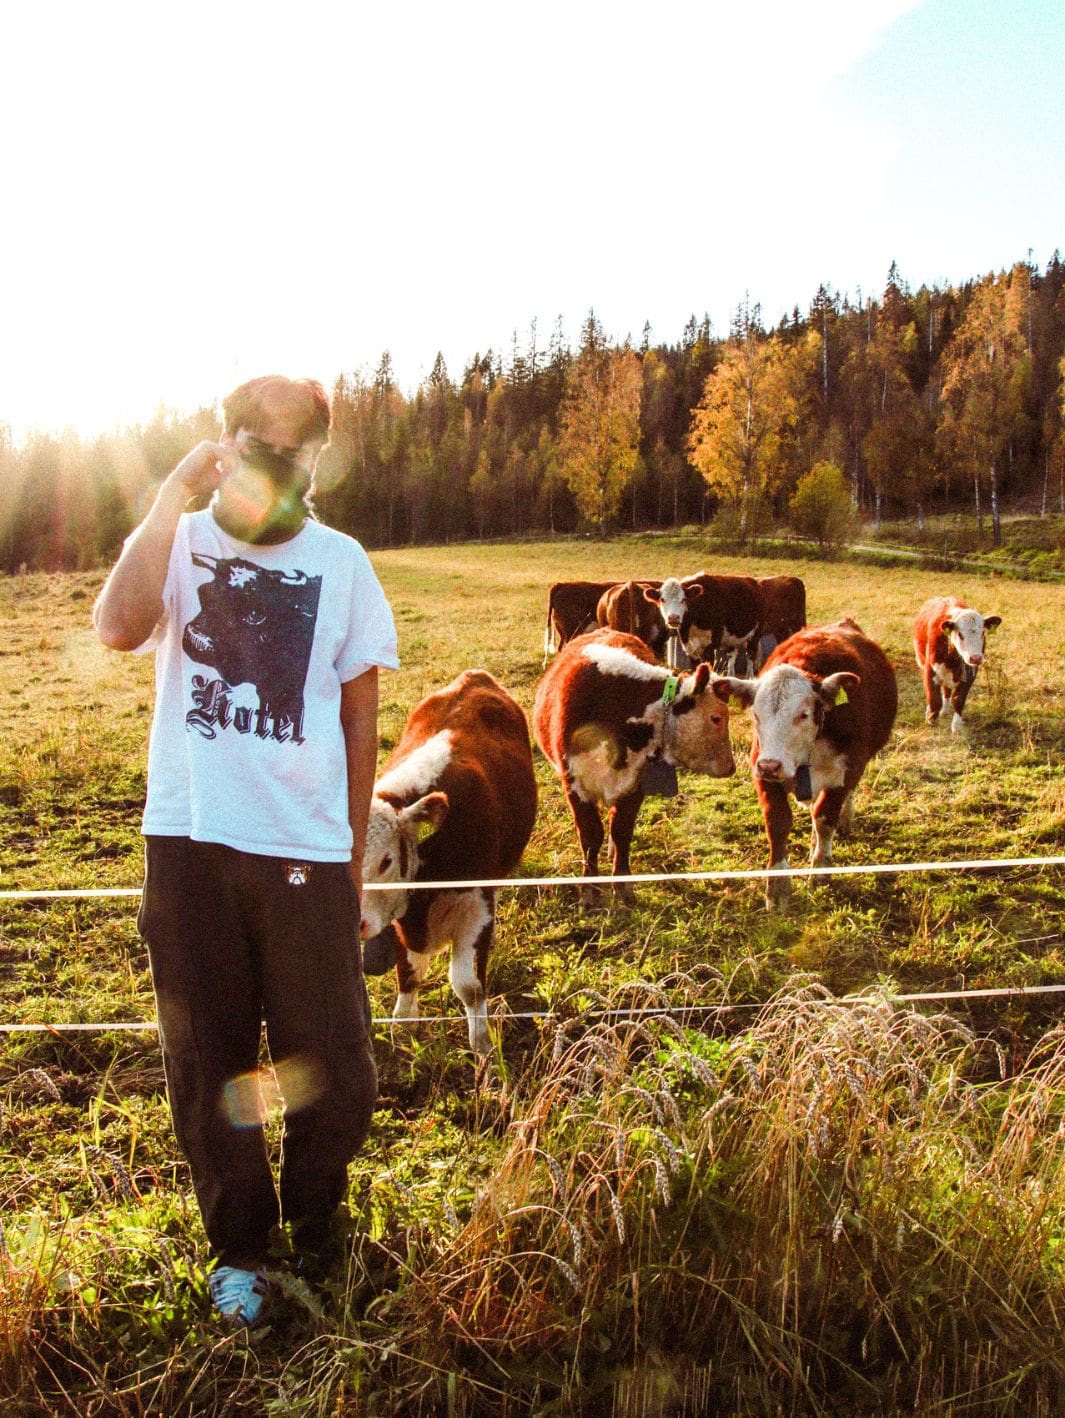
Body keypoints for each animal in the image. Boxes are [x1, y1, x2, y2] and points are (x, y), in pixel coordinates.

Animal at [360, 666, 541, 1054]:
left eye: (386, 861)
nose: (359, 923)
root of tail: (474, 676)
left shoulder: (478, 907)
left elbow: (468, 986)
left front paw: (483, 1045)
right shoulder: (404, 923)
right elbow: (409, 971)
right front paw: (403, 1025)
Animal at [536, 629, 737, 896]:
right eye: (716, 718)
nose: (731, 766)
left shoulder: (635, 784)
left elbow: (622, 831)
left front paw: (622, 885)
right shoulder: (575, 784)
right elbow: (590, 836)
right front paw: (590, 889)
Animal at [726, 618, 901, 907]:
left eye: (803, 714)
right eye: (756, 714)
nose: (770, 765)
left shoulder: (846, 771)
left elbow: (825, 817)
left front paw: (820, 869)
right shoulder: (762, 773)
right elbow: (778, 823)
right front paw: (777, 885)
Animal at [913, 595, 1004, 731]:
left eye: (983, 633)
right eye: (960, 634)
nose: (975, 658)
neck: (952, 659)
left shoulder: (970, 674)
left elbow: (958, 700)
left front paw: (956, 727)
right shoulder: (930, 670)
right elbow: (934, 699)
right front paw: (931, 720)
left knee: (946, 691)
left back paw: (944, 711)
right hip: (921, 662)